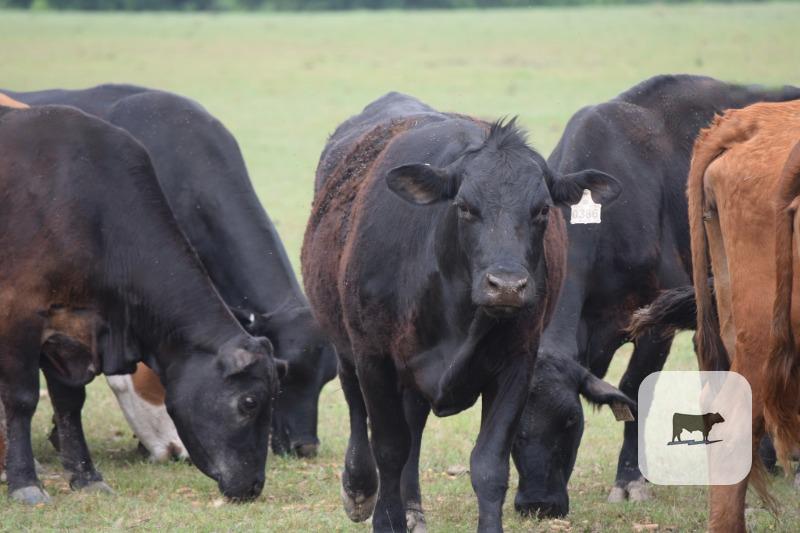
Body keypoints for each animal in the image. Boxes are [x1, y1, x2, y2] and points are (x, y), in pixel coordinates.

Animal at [0, 104, 280, 505]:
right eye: (250, 402)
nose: (255, 485)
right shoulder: (19, 311)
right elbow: (22, 399)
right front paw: (25, 482)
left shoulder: (70, 333)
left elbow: (69, 403)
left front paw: (86, 476)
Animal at [302, 92, 620, 532]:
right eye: (465, 207)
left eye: (542, 210)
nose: (507, 285)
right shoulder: (374, 358)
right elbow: (388, 447)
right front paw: (385, 517)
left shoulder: (516, 364)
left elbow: (487, 465)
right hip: (346, 342)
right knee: (356, 406)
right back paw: (359, 489)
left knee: (414, 424)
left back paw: (413, 506)